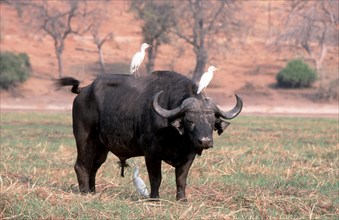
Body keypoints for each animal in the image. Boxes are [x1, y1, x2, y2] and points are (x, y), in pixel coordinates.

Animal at [57, 71, 242, 201]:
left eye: (211, 120)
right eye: (190, 120)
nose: (205, 141)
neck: (174, 135)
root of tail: (84, 91)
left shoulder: (189, 155)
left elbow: (181, 178)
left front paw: (182, 199)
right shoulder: (152, 154)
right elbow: (156, 178)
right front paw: (155, 198)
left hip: (102, 147)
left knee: (93, 167)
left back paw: (93, 191)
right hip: (85, 139)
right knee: (82, 165)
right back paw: (84, 193)